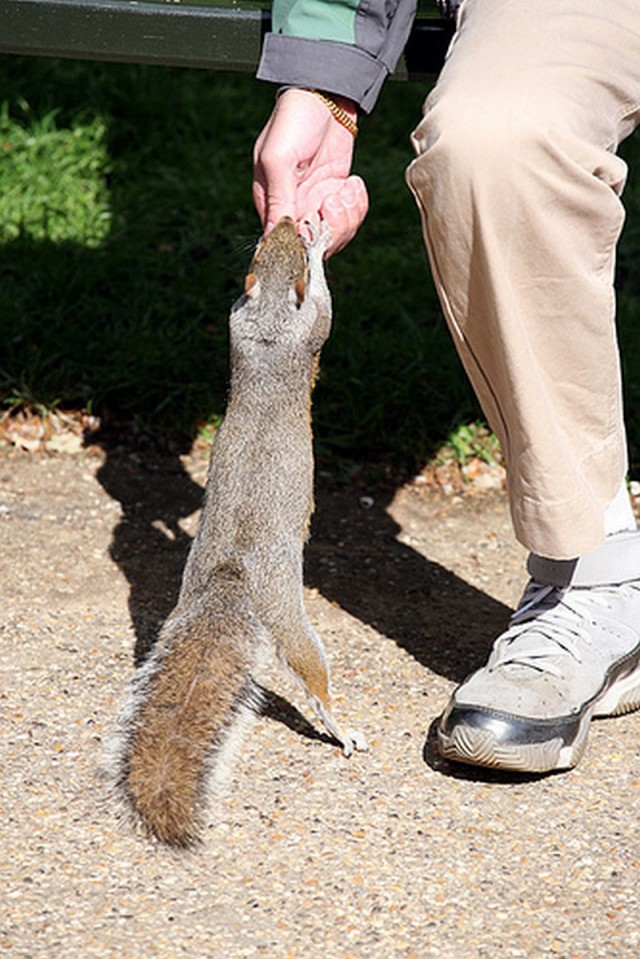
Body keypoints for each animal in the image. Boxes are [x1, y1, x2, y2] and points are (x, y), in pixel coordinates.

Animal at [108, 216, 368, 848]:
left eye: (262, 245)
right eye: (285, 248)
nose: (286, 220)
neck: (271, 316)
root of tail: (233, 580)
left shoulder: (238, 319)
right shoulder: (309, 323)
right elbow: (326, 309)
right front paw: (322, 245)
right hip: (295, 628)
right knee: (314, 682)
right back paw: (340, 726)